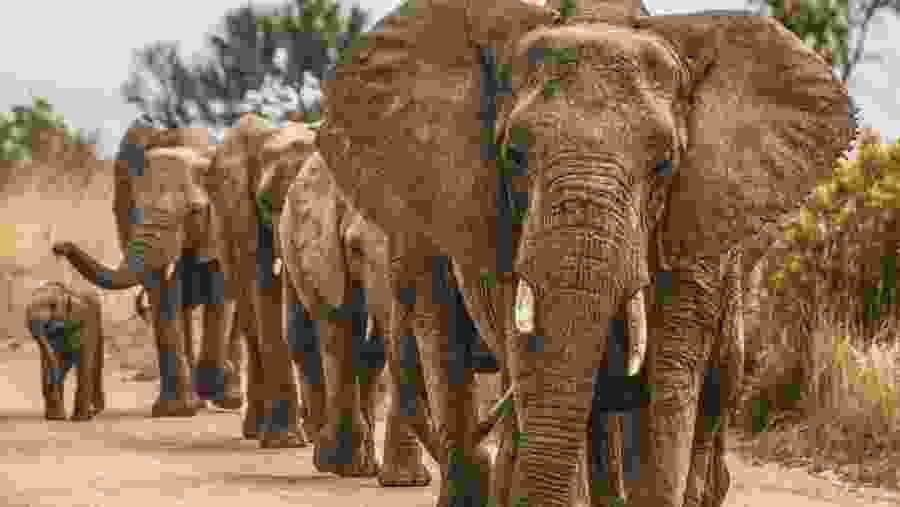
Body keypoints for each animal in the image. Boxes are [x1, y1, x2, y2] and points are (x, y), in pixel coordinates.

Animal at [25, 281, 105, 421]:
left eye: (52, 304)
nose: (62, 417)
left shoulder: (86, 320)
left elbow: (83, 357)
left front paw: (80, 419)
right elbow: (54, 356)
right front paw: (56, 417)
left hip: (98, 323)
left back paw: (90, 413)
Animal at [52, 115, 237, 418]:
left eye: (194, 212)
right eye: (137, 207)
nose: (59, 246)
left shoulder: (220, 223)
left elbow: (220, 288)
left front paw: (207, 390)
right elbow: (162, 292)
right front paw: (176, 410)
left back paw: (229, 396)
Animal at [314, 1, 856, 506]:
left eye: (665, 165)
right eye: (514, 156)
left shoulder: (700, 218)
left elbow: (671, 376)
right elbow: (534, 354)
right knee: (444, 348)